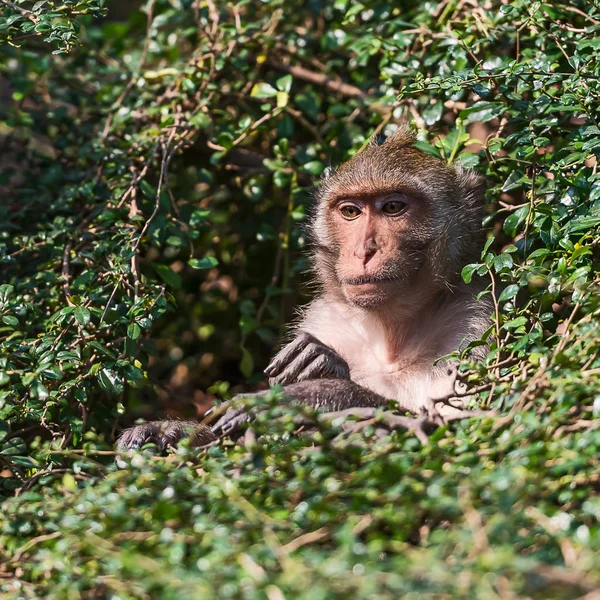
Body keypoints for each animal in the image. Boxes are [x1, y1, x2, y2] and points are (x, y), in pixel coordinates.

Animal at [117, 126, 492, 452]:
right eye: (351, 211)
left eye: (394, 207)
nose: (364, 251)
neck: (392, 338)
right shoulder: (324, 318)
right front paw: (165, 430)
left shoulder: (474, 324)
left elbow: (471, 432)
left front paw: (318, 389)